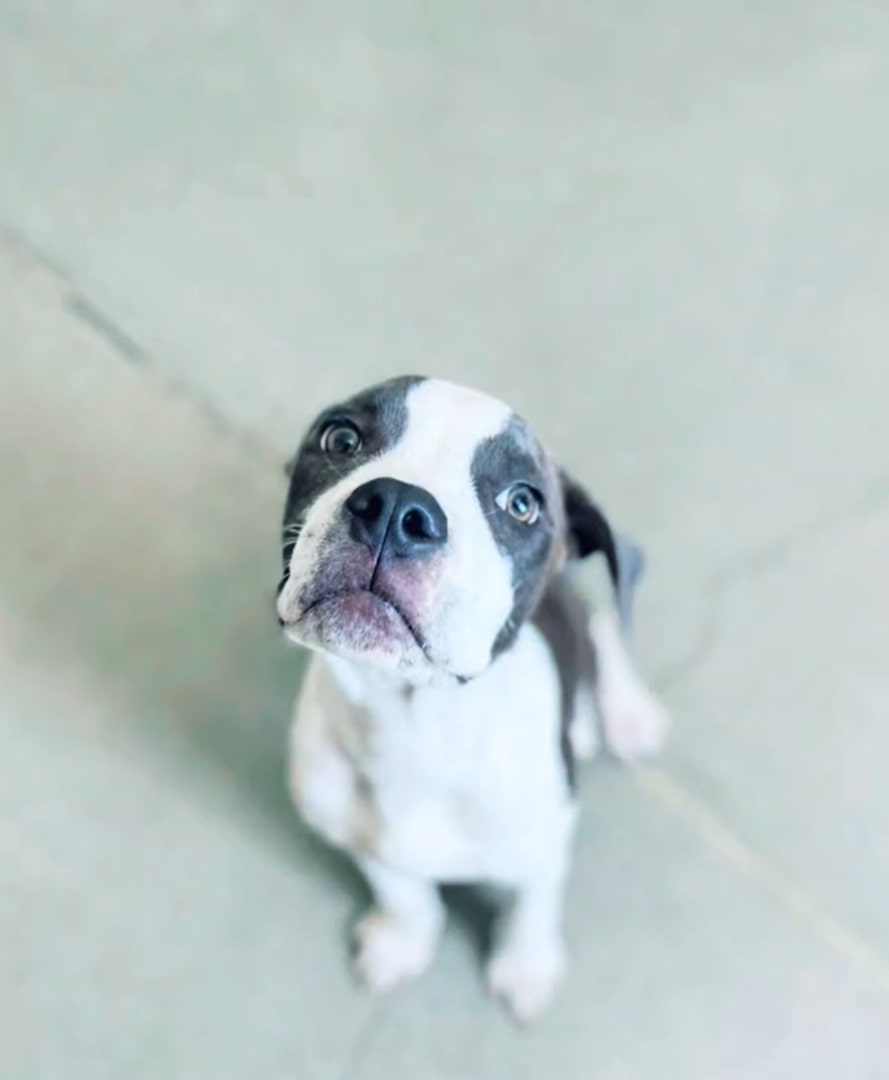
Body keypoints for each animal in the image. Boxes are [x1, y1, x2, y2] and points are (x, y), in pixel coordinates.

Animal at [278, 378, 665, 1019]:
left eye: (522, 503)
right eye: (341, 438)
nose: (395, 507)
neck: (412, 723)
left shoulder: (543, 847)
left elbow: (532, 911)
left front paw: (525, 969)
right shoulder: (361, 836)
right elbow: (405, 895)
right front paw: (402, 941)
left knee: (603, 624)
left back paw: (628, 715)